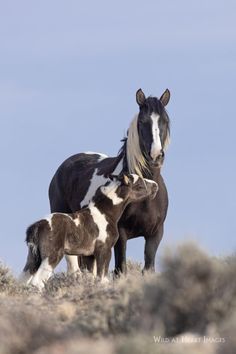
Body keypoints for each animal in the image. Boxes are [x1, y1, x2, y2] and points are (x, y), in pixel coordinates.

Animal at [21, 174, 159, 288]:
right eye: (140, 184)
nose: (156, 186)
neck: (105, 213)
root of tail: (36, 226)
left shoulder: (89, 256)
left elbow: (90, 277)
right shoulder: (104, 250)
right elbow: (102, 277)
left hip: (32, 259)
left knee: (24, 281)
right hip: (52, 256)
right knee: (37, 282)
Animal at [48, 89, 170, 274]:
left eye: (165, 120)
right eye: (142, 122)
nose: (156, 155)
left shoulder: (155, 234)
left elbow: (148, 269)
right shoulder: (121, 234)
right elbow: (121, 269)